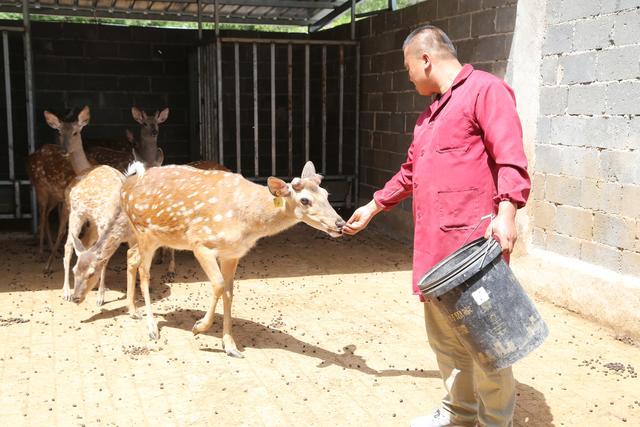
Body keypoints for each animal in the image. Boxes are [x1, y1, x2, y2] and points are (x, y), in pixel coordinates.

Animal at [119, 162, 344, 356]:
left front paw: (230, 346)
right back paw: (151, 328)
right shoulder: (200, 243)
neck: (247, 224)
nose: (340, 224)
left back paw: (132, 310)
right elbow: (218, 285)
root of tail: (125, 186)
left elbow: (229, 292)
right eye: (305, 200)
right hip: (143, 230)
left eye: (326, 194)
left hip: (155, 237)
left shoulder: (232, 253)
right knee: (144, 272)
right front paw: (199, 327)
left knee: (131, 256)